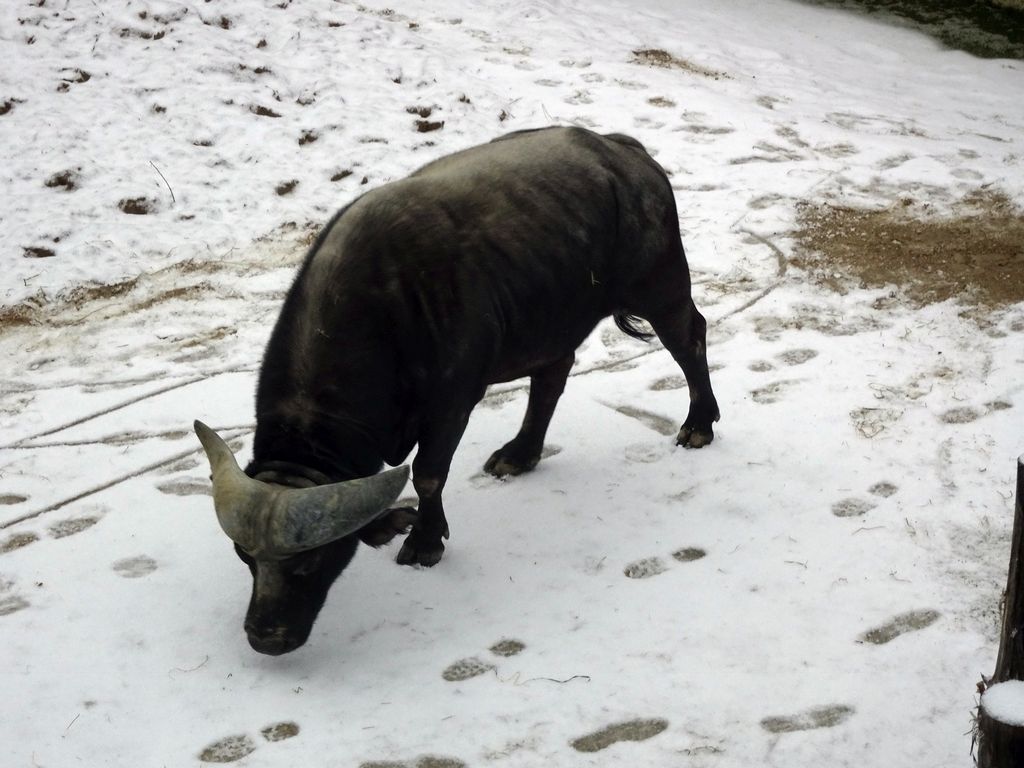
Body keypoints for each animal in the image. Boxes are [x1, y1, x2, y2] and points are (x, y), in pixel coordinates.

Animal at [193, 126, 720, 655]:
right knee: (553, 376)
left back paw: (698, 425)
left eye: (310, 561)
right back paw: (520, 454)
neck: (382, 312)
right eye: (244, 557)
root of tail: (625, 152)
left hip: (660, 285)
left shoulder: (452, 404)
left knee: (689, 338)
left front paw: (425, 542)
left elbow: (428, 474)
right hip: (550, 320)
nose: (266, 637)